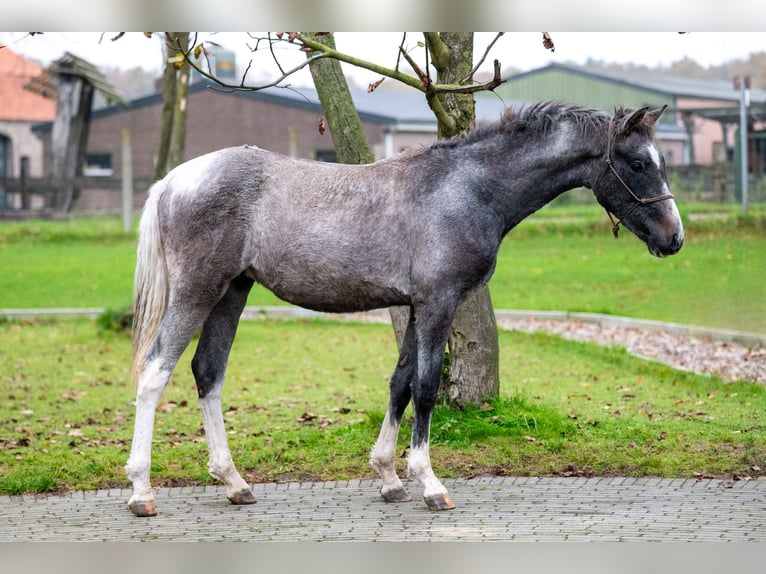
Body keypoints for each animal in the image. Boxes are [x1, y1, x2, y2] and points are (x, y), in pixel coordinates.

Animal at [124, 101, 684, 520]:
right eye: (638, 164)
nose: (674, 239)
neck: (465, 188)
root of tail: (174, 181)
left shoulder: (416, 306)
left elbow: (399, 383)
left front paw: (389, 477)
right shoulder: (439, 303)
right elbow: (426, 387)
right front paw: (429, 483)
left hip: (232, 292)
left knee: (207, 372)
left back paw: (234, 482)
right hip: (198, 290)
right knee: (155, 372)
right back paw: (141, 491)